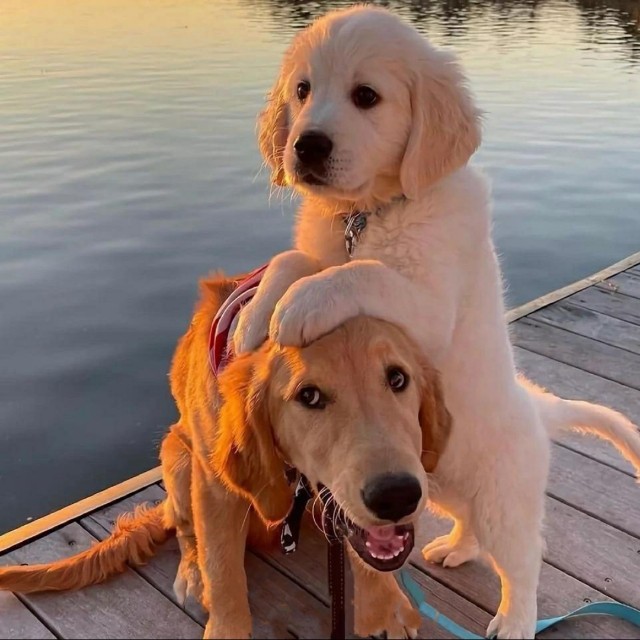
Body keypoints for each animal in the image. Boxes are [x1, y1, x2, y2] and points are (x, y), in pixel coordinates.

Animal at [0, 272, 454, 639]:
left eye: (397, 378)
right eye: (308, 396)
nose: (396, 496)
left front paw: (386, 608)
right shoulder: (215, 487)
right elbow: (223, 570)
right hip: (177, 456)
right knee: (186, 531)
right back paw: (191, 574)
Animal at [230, 6, 640, 638]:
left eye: (366, 96)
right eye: (302, 91)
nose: (305, 146)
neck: (368, 214)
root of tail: (534, 405)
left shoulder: (428, 304)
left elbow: (361, 273)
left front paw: (295, 309)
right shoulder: (325, 247)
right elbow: (292, 260)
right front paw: (255, 316)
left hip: (503, 502)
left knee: (525, 561)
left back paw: (514, 620)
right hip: (437, 484)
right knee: (470, 526)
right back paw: (454, 547)